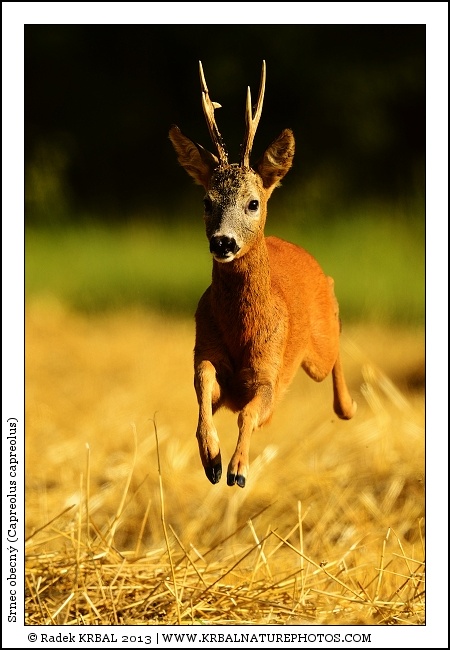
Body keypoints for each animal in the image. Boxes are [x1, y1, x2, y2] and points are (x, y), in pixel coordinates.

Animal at [168, 61, 357, 488]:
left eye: (253, 203)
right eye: (206, 201)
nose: (223, 241)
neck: (243, 328)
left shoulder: (269, 372)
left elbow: (250, 412)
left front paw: (238, 469)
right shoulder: (205, 352)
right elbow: (202, 388)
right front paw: (212, 459)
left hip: (318, 352)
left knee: (334, 345)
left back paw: (349, 407)